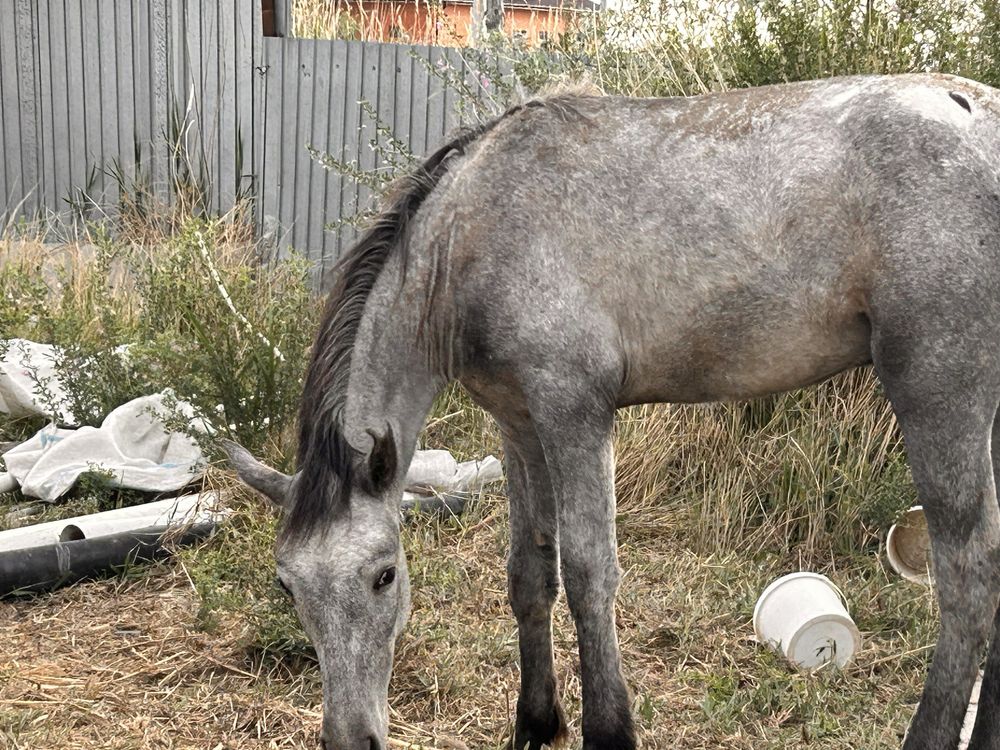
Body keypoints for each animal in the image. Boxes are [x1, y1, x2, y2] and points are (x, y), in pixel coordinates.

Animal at [223, 75, 1000, 750]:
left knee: (968, 577)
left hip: (940, 393)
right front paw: (536, 722)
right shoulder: (519, 425)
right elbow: (529, 572)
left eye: (383, 575)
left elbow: (589, 572)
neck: (475, 232)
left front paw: (607, 730)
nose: (350, 740)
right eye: (286, 584)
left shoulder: (574, 413)